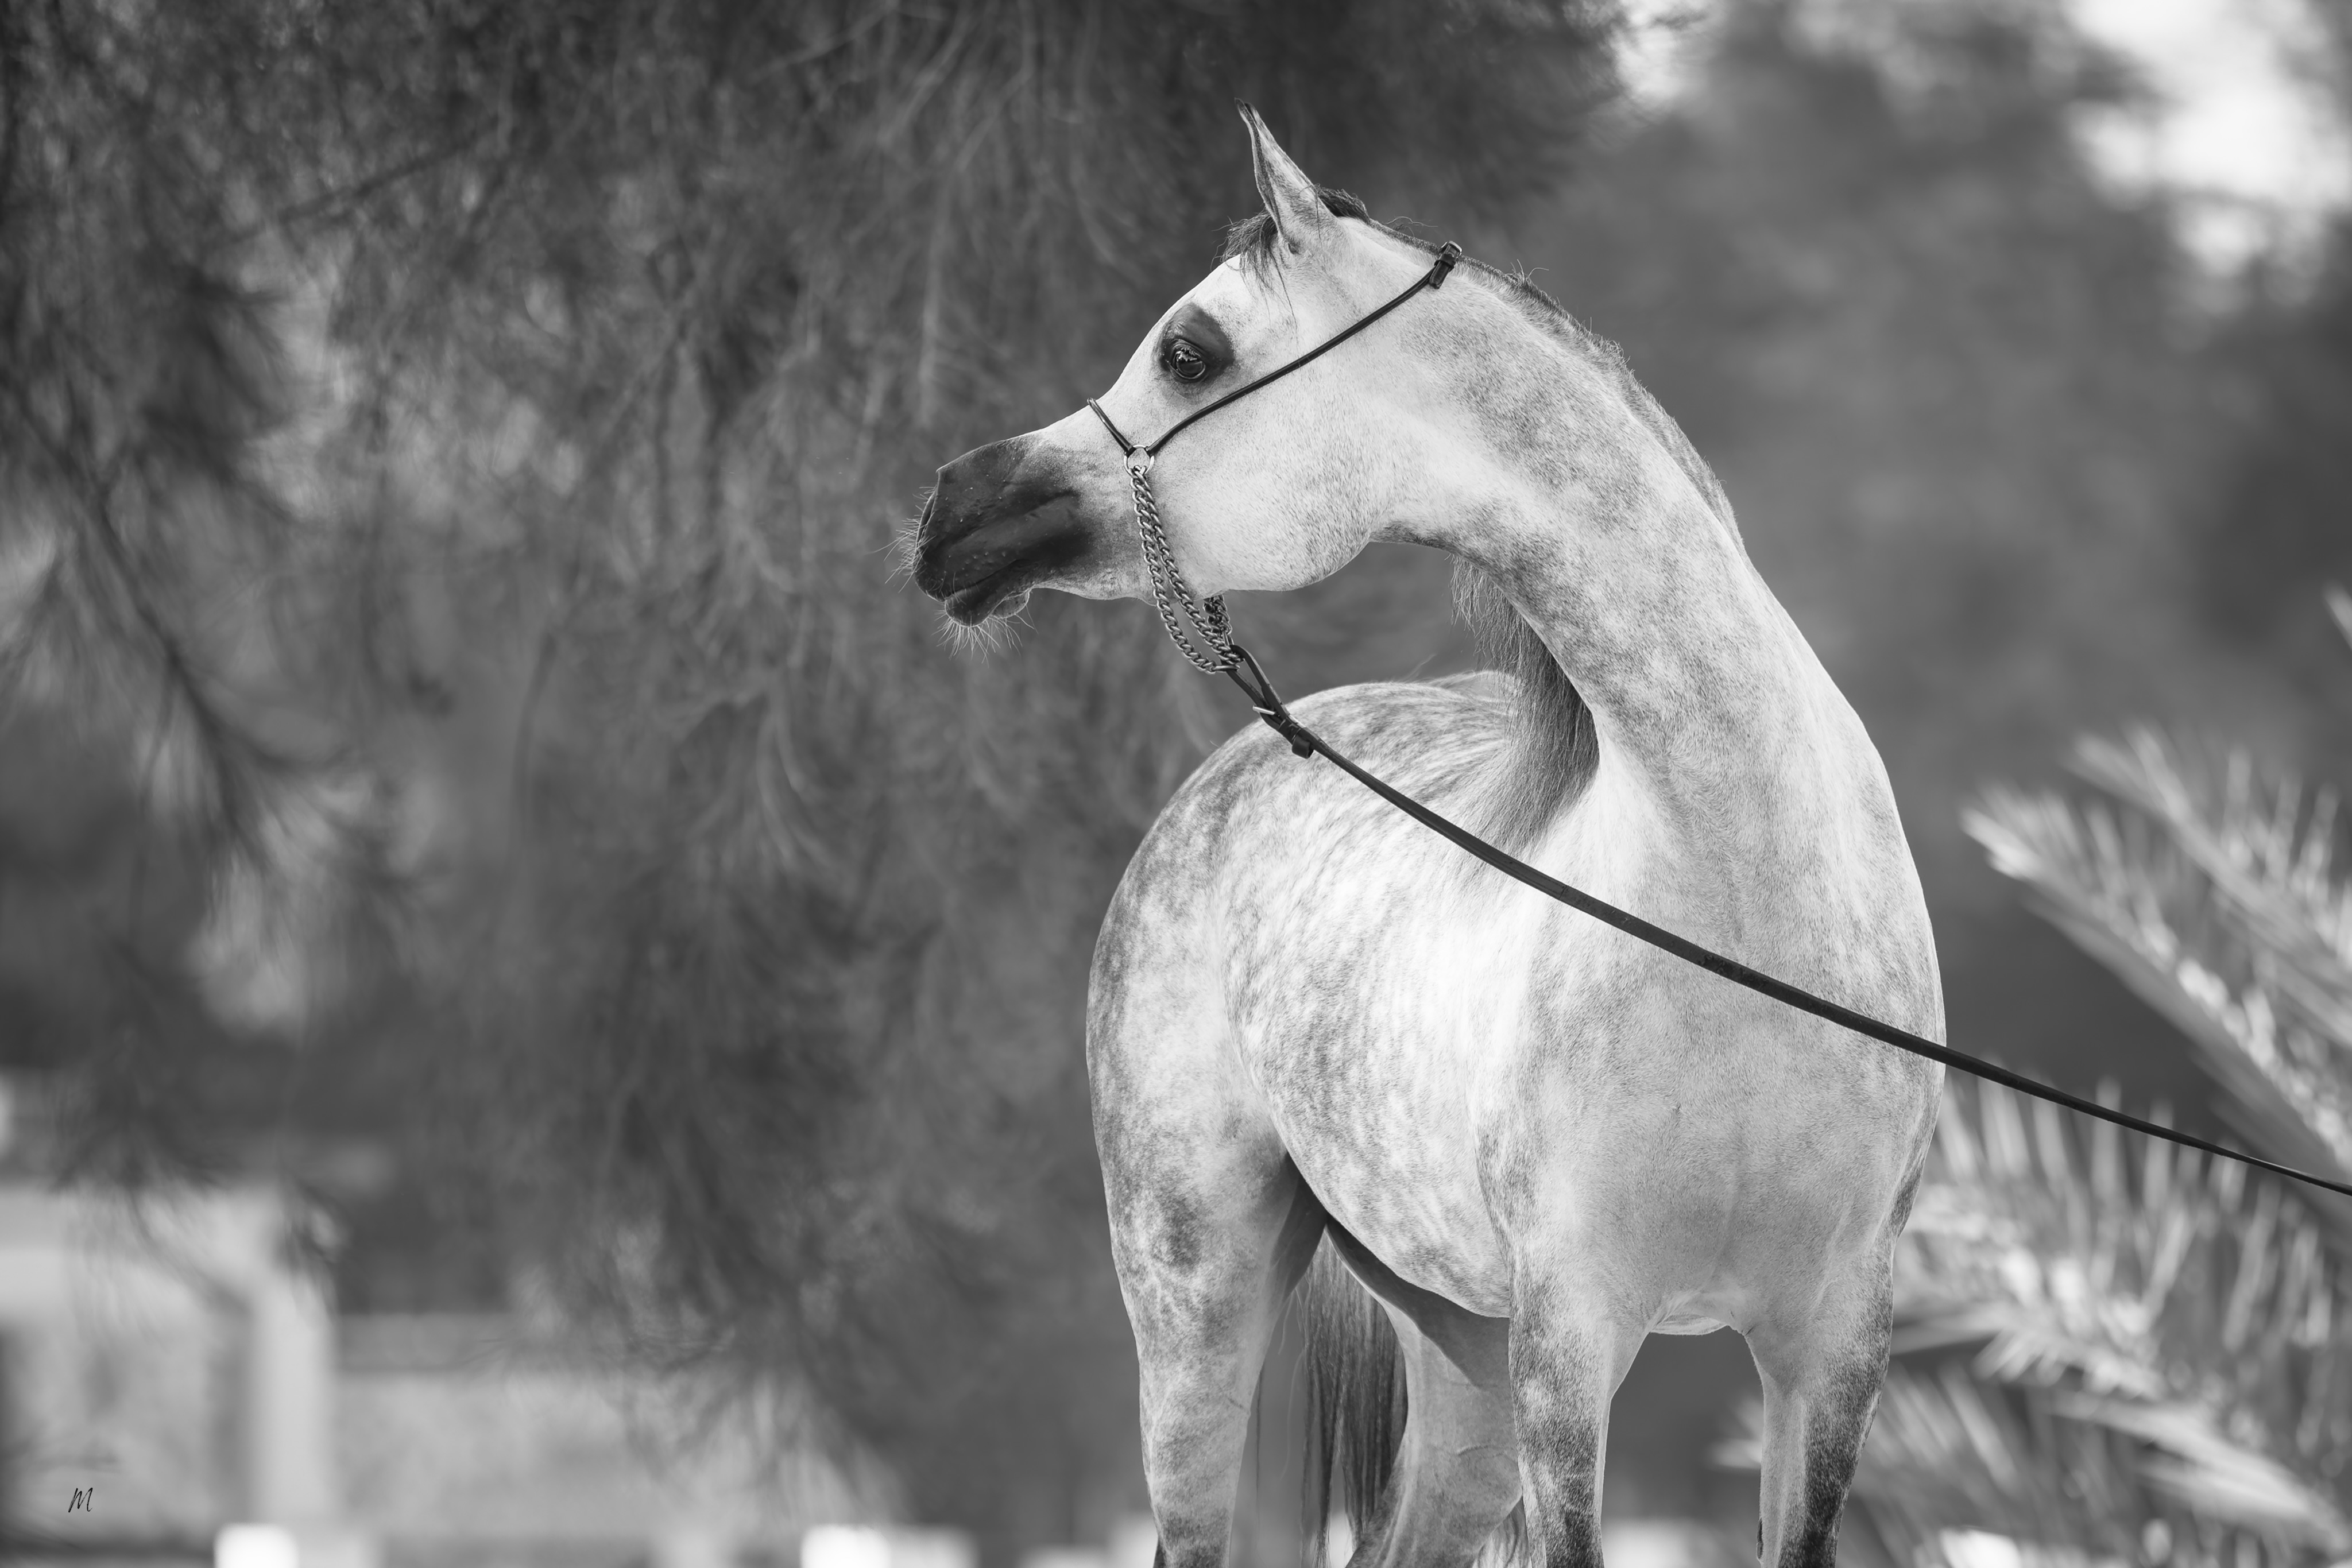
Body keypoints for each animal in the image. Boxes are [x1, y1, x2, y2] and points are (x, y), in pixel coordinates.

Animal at [910, 106, 1944, 1568]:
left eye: (1187, 350)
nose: (952, 508)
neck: (1732, 893)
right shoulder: (1574, 1338)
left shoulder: (1832, 1343)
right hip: (1198, 1302)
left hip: (1464, 1363)